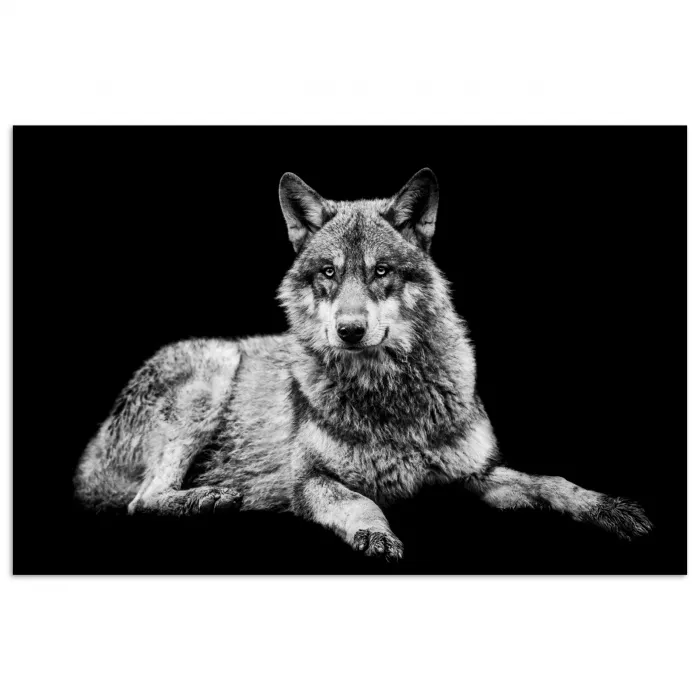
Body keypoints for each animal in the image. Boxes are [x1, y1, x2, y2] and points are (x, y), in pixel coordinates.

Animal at [74, 169, 652, 560]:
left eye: (380, 271)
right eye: (329, 272)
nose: (349, 330)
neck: (390, 396)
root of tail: (92, 451)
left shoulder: (477, 474)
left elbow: (553, 482)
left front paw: (609, 508)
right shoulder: (310, 481)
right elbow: (360, 503)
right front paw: (376, 534)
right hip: (213, 372)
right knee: (140, 500)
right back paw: (209, 498)